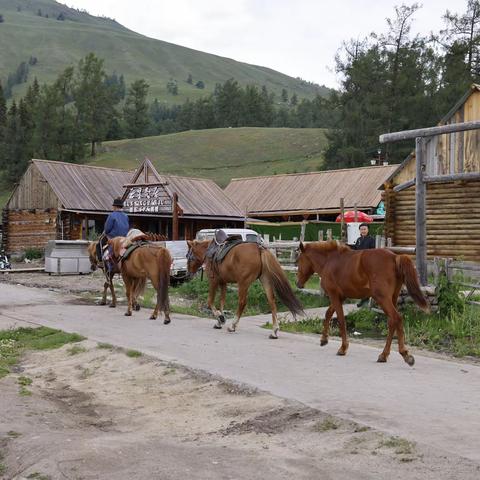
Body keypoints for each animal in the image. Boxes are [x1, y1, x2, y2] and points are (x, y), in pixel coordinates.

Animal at [294, 242, 430, 366]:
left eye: (299, 260)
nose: (297, 283)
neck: (329, 261)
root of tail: (394, 257)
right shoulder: (340, 297)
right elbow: (328, 313)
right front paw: (324, 339)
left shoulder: (334, 296)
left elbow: (341, 320)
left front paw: (343, 348)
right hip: (393, 298)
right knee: (392, 322)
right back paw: (384, 355)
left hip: (382, 298)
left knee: (396, 318)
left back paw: (405, 355)